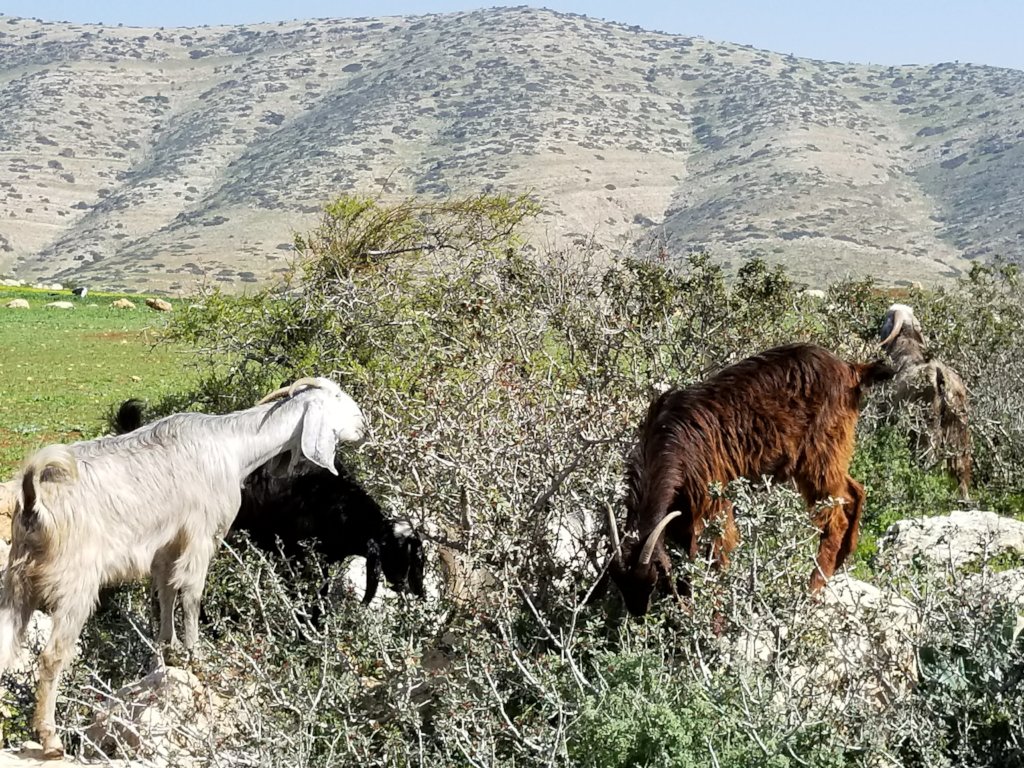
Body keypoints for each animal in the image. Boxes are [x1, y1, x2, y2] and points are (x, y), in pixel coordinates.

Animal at [0, 378, 364, 758]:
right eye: (336, 397)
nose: (364, 428)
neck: (233, 446)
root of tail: (34, 501)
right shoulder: (201, 536)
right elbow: (191, 595)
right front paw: (196, 659)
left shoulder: (166, 548)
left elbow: (166, 595)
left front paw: (163, 657)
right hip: (76, 584)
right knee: (52, 657)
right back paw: (51, 739)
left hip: (17, 582)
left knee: (5, 647)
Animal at [606, 343, 894, 617]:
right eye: (621, 585)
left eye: (650, 582)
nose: (638, 614)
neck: (670, 440)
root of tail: (850, 369)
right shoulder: (681, 515)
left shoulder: (712, 501)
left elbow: (717, 555)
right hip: (831, 455)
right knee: (855, 491)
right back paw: (843, 559)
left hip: (819, 454)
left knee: (836, 518)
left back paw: (812, 588)